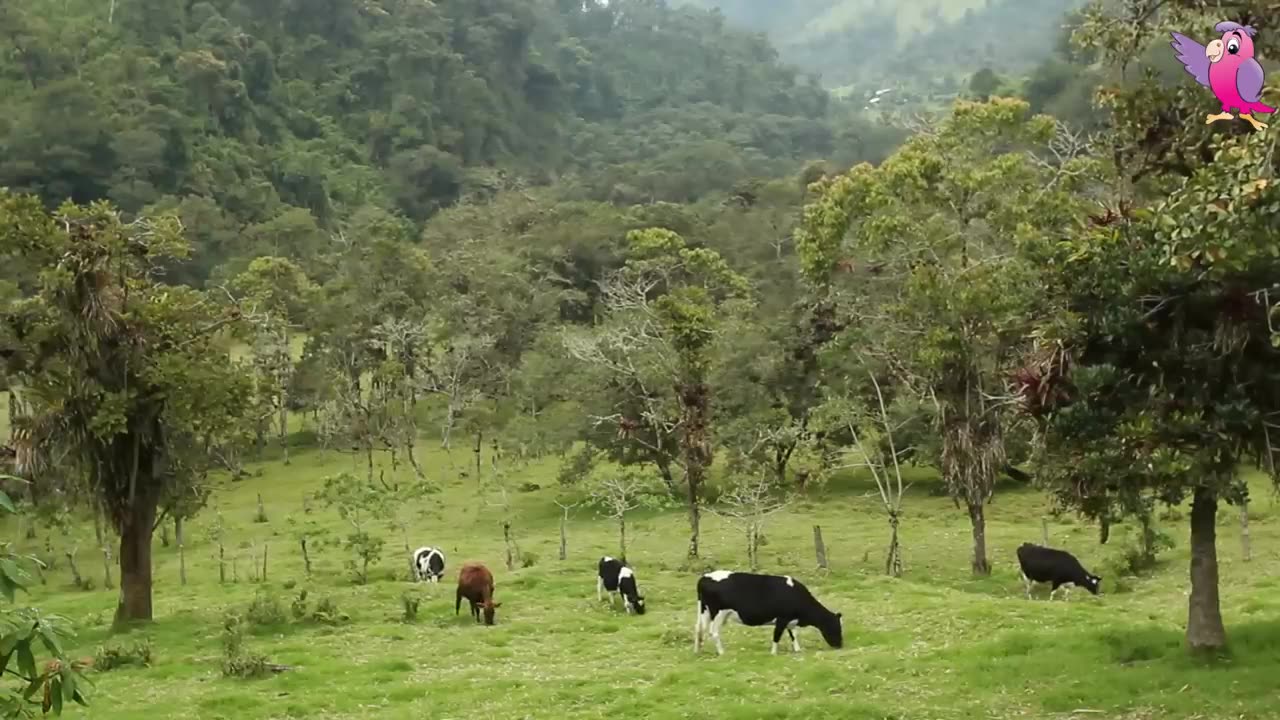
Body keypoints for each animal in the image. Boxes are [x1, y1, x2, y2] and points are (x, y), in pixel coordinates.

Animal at [696, 568, 844, 653]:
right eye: (836, 627)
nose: (840, 645)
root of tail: (705, 576)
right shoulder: (782, 618)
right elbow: (777, 636)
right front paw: (774, 653)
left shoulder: (790, 619)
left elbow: (793, 634)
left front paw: (797, 650)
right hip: (718, 613)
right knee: (713, 632)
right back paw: (722, 652)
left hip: (704, 610)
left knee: (698, 629)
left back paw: (698, 651)